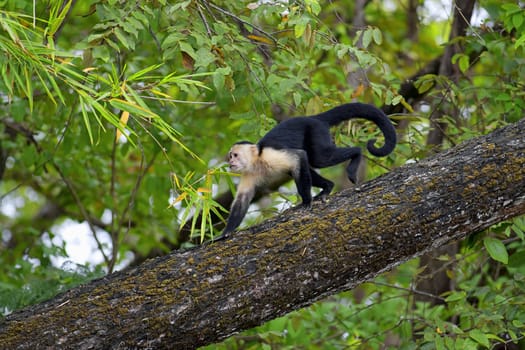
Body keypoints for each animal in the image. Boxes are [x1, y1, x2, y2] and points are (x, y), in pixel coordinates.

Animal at [215, 102, 396, 241]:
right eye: (230, 156)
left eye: (235, 155)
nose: (230, 162)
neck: (257, 161)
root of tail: (314, 118)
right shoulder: (248, 172)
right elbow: (242, 200)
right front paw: (225, 233)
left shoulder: (269, 155)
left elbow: (299, 157)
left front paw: (306, 201)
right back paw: (328, 187)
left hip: (315, 131)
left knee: (319, 158)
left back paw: (356, 155)